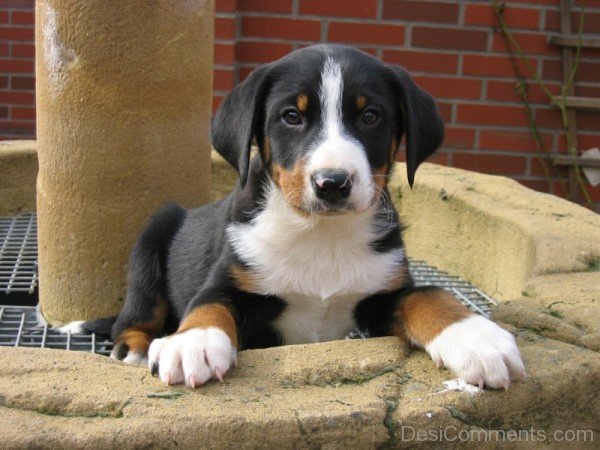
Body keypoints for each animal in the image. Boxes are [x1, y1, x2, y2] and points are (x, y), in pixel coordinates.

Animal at [68, 44, 524, 390]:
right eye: (291, 116)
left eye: (371, 116)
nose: (332, 183)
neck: (319, 233)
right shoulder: (232, 279)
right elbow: (208, 305)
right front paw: (192, 344)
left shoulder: (382, 291)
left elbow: (428, 296)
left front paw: (476, 337)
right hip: (151, 240)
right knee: (133, 315)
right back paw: (136, 347)